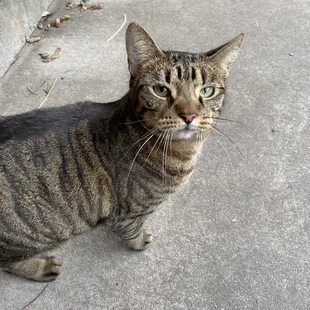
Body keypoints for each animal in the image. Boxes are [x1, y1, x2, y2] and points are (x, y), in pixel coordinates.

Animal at [0, 23, 242, 282]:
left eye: (207, 91)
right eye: (161, 90)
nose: (189, 115)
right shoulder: (128, 212)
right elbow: (130, 230)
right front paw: (139, 241)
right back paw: (41, 267)